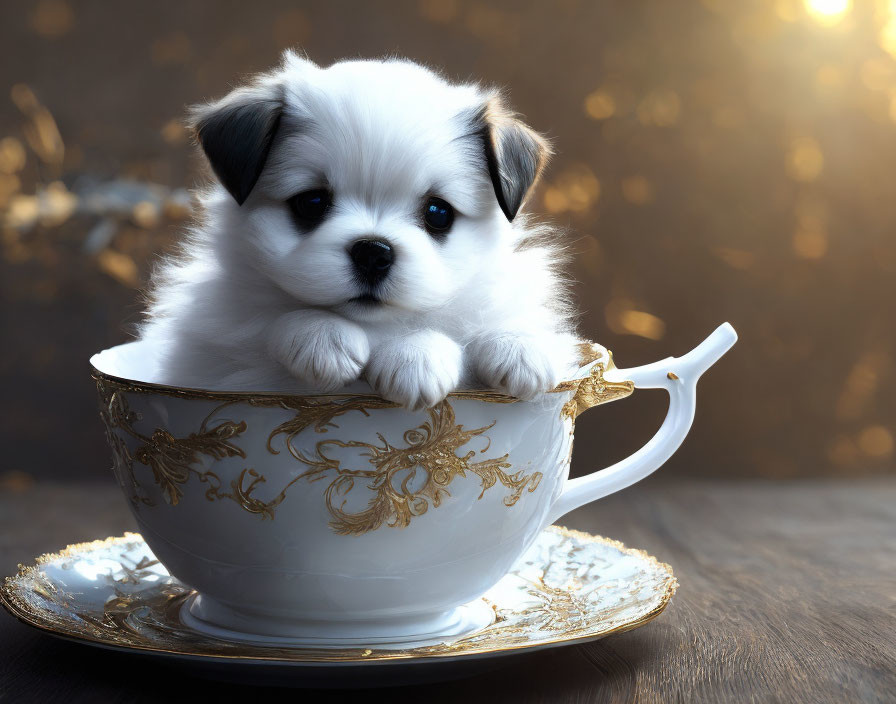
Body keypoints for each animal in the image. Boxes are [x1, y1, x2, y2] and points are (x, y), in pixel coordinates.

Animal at [137, 52, 576, 410]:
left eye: (438, 213)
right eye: (312, 202)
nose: (373, 252)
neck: (378, 328)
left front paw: (513, 346)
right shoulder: (227, 334)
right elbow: (264, 317)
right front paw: (322, 334)